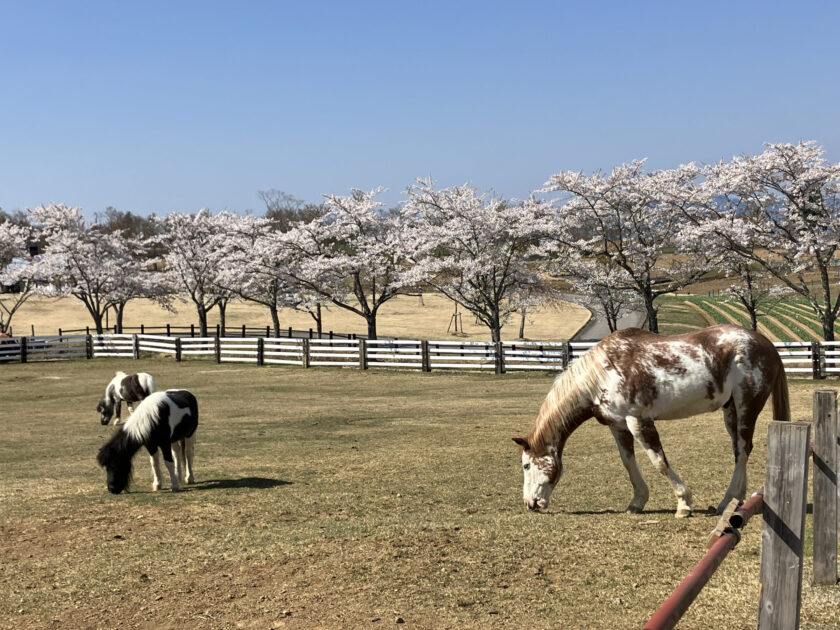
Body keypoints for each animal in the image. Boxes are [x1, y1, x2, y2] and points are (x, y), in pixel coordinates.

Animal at [513, 324, 790, 518]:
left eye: (526, 465)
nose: (530, 503)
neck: (601, 374)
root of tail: (766, 344)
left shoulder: (638, 420)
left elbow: (659, 462)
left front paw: (683, 503)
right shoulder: (618, 426)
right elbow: (628, 462)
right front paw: (637, 502)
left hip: (746, 407)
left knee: (742, 450)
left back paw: (725, 501)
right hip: (730, 410)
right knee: (739, 451)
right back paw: (735, 500)